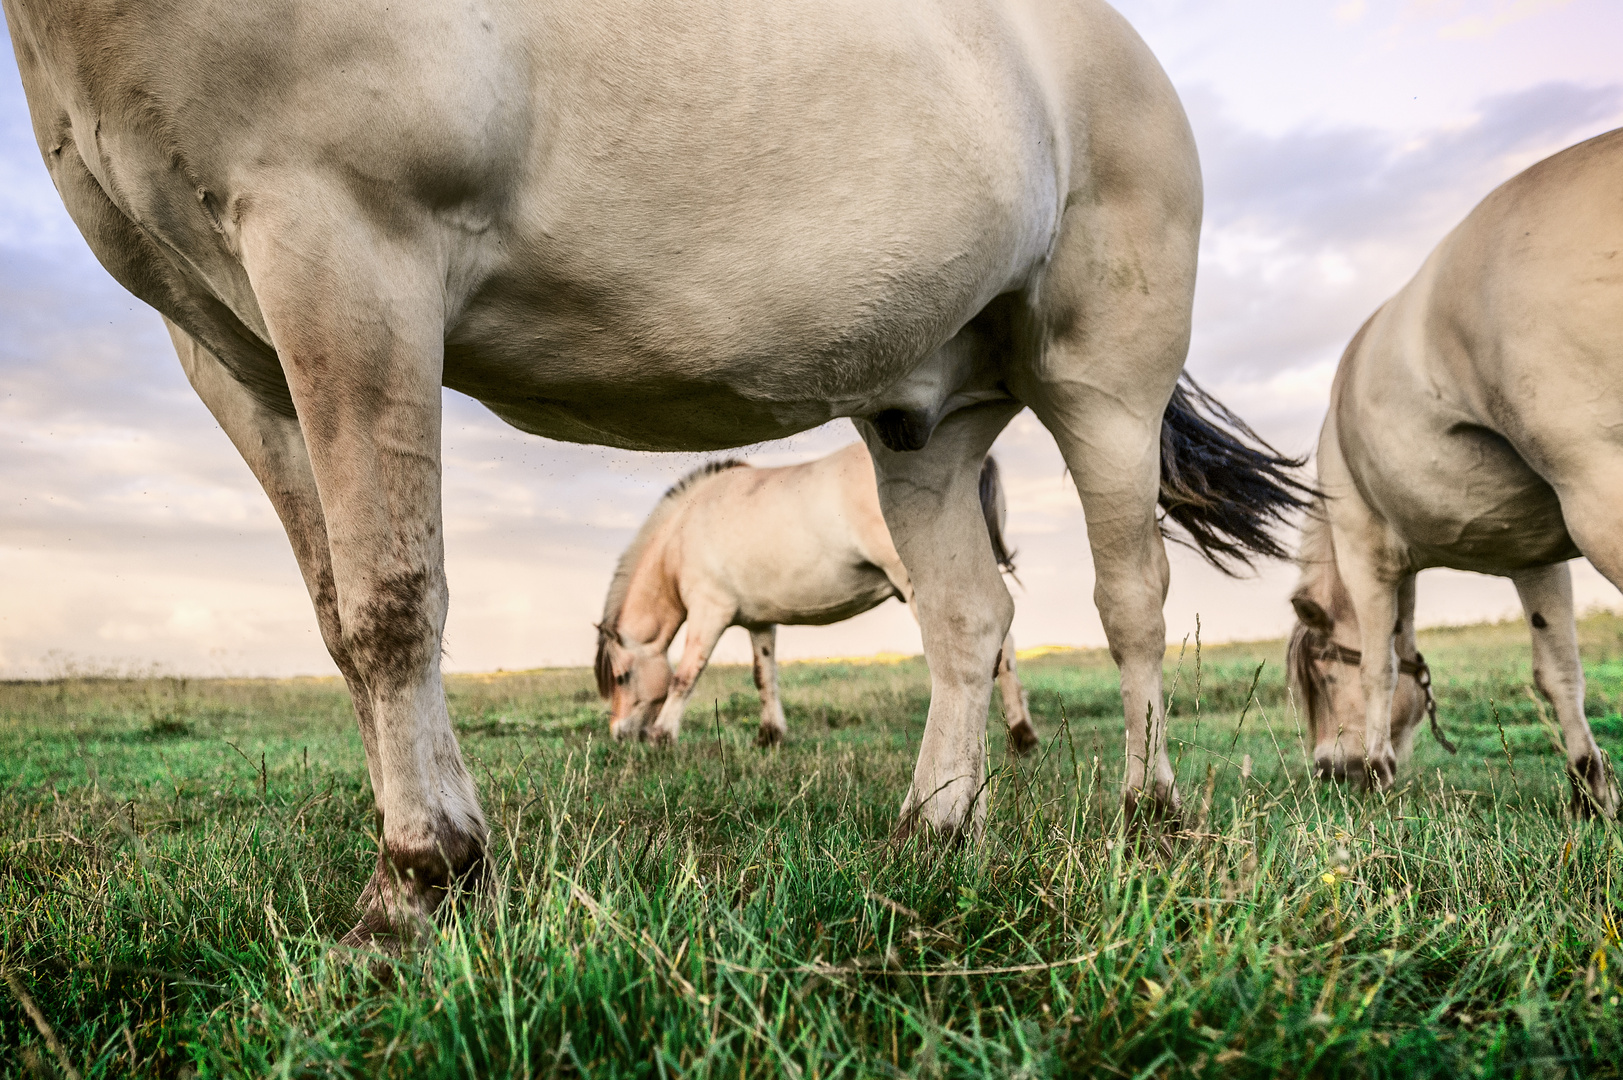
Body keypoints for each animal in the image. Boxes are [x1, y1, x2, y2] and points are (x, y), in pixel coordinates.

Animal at [597, 441, 1038, 753]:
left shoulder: (710, 614)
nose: (619, 734)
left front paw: (662, 736)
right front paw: (770, 735)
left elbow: (685, 677)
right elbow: (764, 675)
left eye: (621, 677)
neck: (683, 532)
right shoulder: (760, 622)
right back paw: (1023, 736)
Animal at [1291, 126, 1623, 812]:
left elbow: (1381, 665)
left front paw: (1380, 769)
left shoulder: (1366, 557)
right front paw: (1590, 788)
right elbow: (1558, 670)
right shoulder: (1534, 557)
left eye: (1322, 672)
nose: (1332, 770)